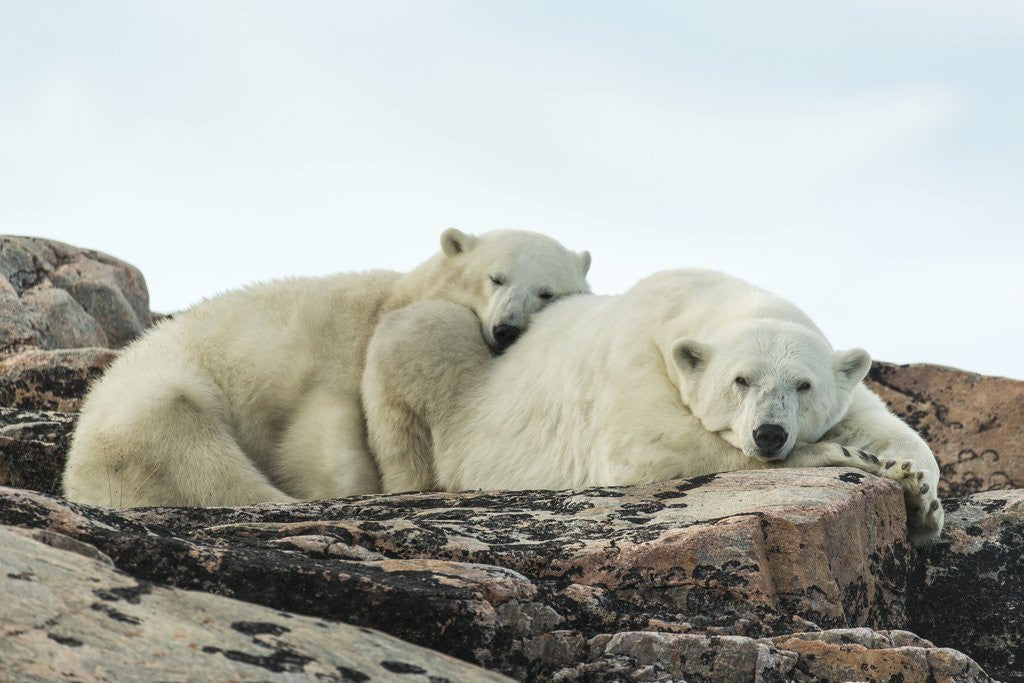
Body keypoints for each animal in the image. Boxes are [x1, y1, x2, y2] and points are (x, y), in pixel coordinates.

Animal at [62, 228, 591, 508]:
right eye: (495, 277)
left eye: (547, 291)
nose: (507, 329)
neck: (393, 299)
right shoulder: (335, 358)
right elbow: (318, 436)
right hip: (152, 402)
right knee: (196, 450)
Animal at [362, 268, 943, 547]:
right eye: (740, 380)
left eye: (803, 385)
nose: (770, 434)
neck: (698, 298)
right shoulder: (639, 360)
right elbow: (648, 449)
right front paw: (847, 456)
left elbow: (885, 427)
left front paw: (918, 493)